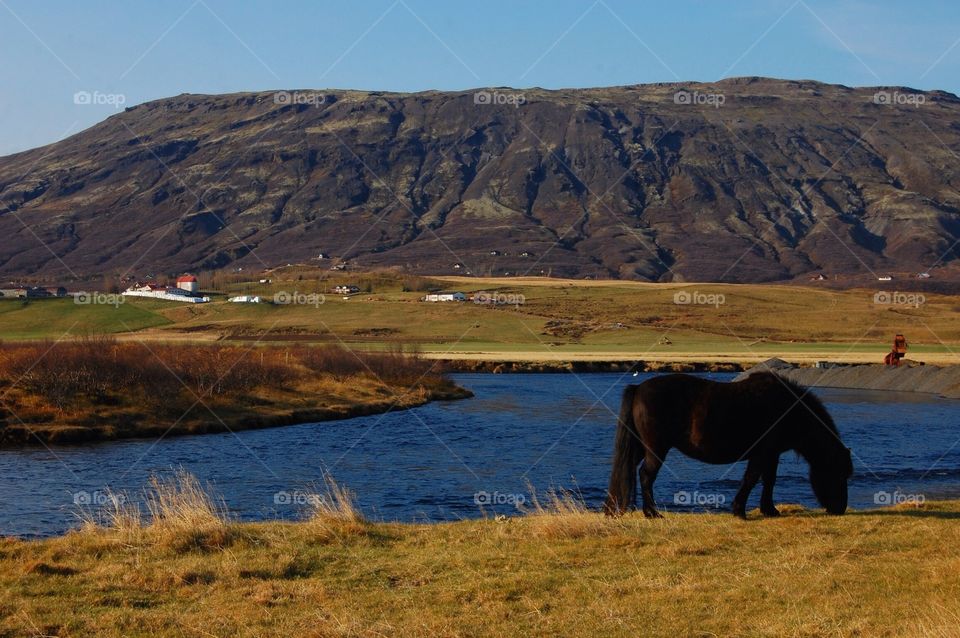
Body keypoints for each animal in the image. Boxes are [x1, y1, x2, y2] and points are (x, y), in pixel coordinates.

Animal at [604, 376, 852, 520]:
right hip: (657, 449)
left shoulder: (771, 454)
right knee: (646, 475)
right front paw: (739, 511)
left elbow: (769, 480)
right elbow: (752, 479)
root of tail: (638, 388)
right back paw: (652, 513)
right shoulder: (762, 453)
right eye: (838, 473)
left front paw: (769, 510)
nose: (839, 508)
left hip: (640, 448)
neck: (789, 409)